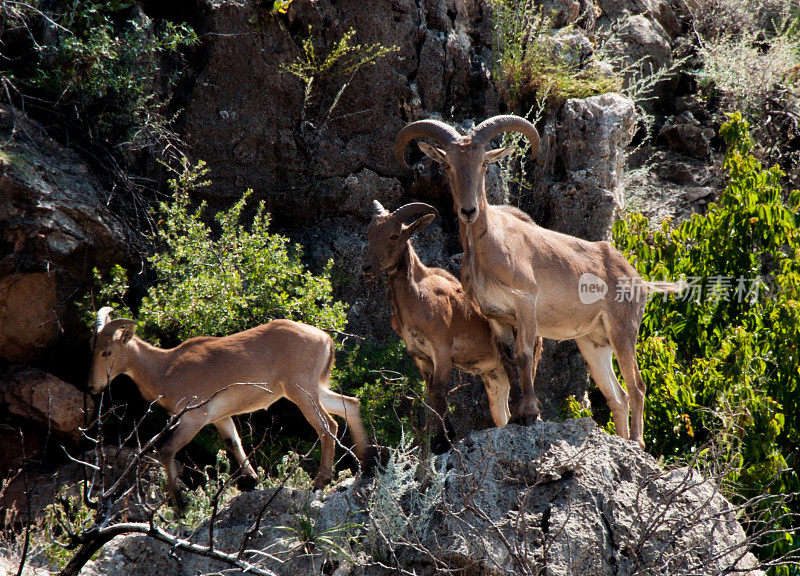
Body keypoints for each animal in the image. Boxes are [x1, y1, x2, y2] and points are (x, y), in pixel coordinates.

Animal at [90, 308, 372, 502]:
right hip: (314, 388)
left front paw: (178, 502)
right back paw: (366, 465)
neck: (165, 368)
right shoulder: (220, 417)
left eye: (108, 352)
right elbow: (233, 443)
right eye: (94, 348)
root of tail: (325, 339)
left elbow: (167, 450)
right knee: (351, 405)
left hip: (300, 390)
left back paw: (320, 482)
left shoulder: (195, 417)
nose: (93, 387)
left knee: (328, 426)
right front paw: (254, 481)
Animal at [364, 200, 544, 452]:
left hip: (529, 351)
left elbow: (440, 391)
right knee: (501, 411)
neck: (416, 296)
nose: (367, 267)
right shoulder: (420, 356)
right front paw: (441, 439)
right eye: (369, 234)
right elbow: (431, 393)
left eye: (394, 235)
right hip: (494, 375)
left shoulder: (441, 349)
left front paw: (444, 441)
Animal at [394, 117, 680, 448]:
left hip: (623, 331)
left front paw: (530, 414)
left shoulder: (525, 303)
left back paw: (637, 443)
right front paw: (516, 416)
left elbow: (524, 354)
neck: (490, 246)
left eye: (483, 164)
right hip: (593, 342)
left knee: (637, 386)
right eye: (448, 165)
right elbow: (508, 359)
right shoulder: (496, 317)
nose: (468, 211)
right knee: (616, 395)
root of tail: (635, 276)